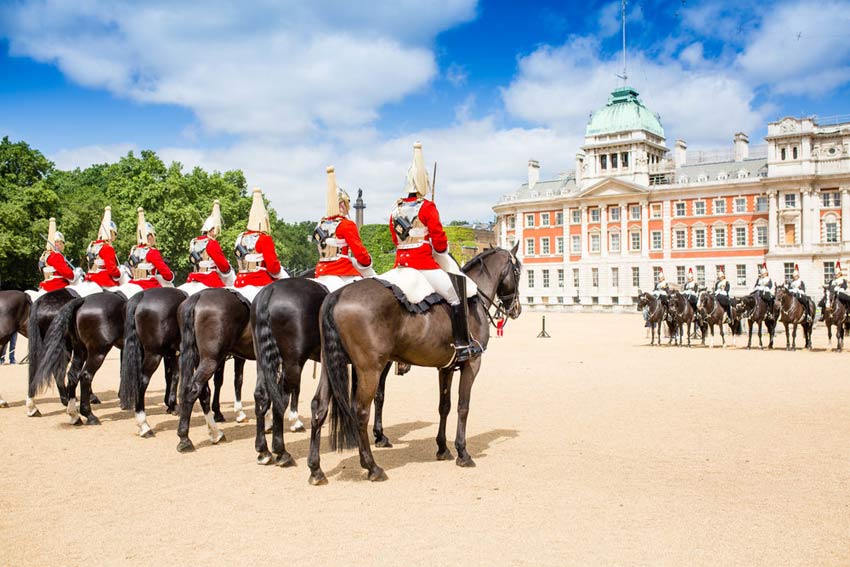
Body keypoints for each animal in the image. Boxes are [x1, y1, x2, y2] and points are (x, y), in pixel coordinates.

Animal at [117, 288, 247, 440]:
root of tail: (141, 295)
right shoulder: (224, 358)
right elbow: (232, 381)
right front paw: (231, 413)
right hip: (154, 354)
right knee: (141, 382)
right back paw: (144, 425)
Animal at [304, 246, 516, 486]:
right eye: (518, 270)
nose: (516, 308)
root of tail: (336, 294)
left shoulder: (446, 368)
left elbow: (444, 406)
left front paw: (442, 448)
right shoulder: (472, 364)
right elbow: (463, 406)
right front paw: (462, 452)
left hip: (331, 367)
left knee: (319, 407)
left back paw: (316, 470)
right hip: (369, 370)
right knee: (360, 411)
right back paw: (372, 467)